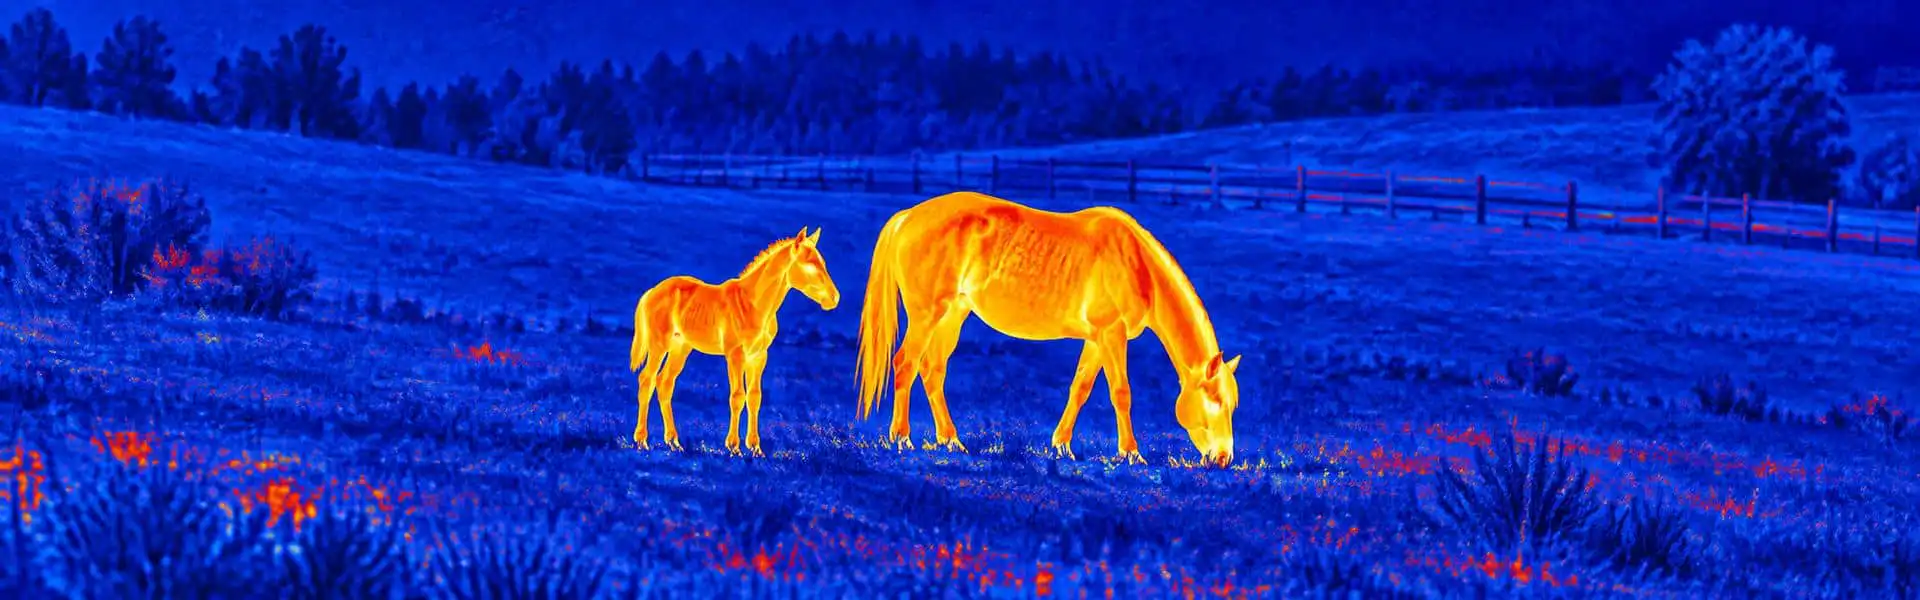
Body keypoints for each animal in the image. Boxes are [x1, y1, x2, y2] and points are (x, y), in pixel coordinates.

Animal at [630, 227, 841, 456]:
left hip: (681, 348)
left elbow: (755, 397)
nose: (834, 298)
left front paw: (756, 448)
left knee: (665, 383)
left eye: (823, 263)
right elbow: (737, 396)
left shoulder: (759, 356)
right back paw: (642, 441)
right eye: (809, 264)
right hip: (659, 345)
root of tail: (651, 292)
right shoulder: (735, 355)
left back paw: (674, 442)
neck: (753, 304)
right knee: (647, 380)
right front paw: (734, 447)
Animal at [854, 192, 1242, 467]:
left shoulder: (1097, 340)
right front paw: (1131, 453)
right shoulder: (1111, 335)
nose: (1223, 458)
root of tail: (908, 217)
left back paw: (951, 441)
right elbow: (1121, 393)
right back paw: (902, 439)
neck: (1136, 263)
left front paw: (1061, 446)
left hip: (953, 315)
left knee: (932, 371)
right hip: (926, 315)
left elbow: (1080, 389)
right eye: (1214, 399)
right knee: (905, 364)